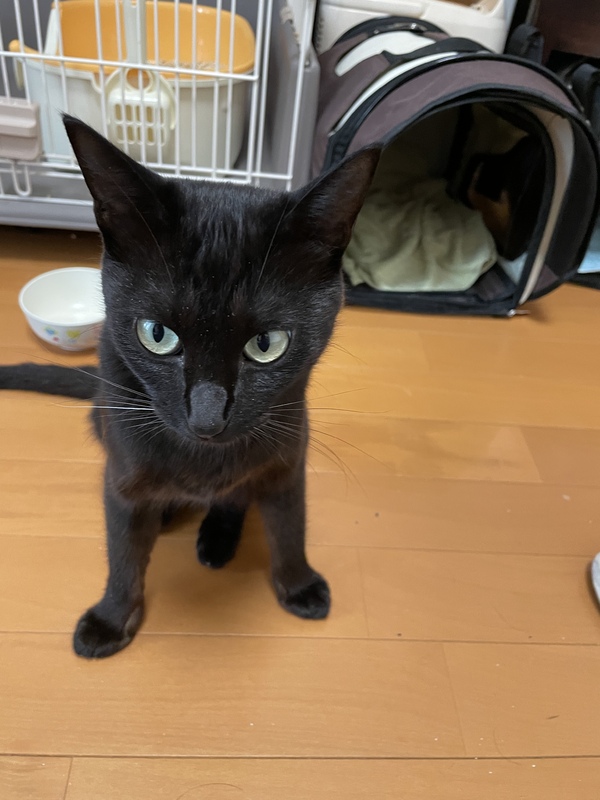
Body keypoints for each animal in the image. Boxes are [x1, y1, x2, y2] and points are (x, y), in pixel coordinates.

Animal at [0, 116, 379, 658]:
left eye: (267, 345)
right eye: (157, 335)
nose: (207, 417)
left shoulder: (287, 460)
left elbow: (290, 526)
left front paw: (298, 583)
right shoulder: (122, 475)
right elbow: (122, 552)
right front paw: (111, 619)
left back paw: (217, 539)